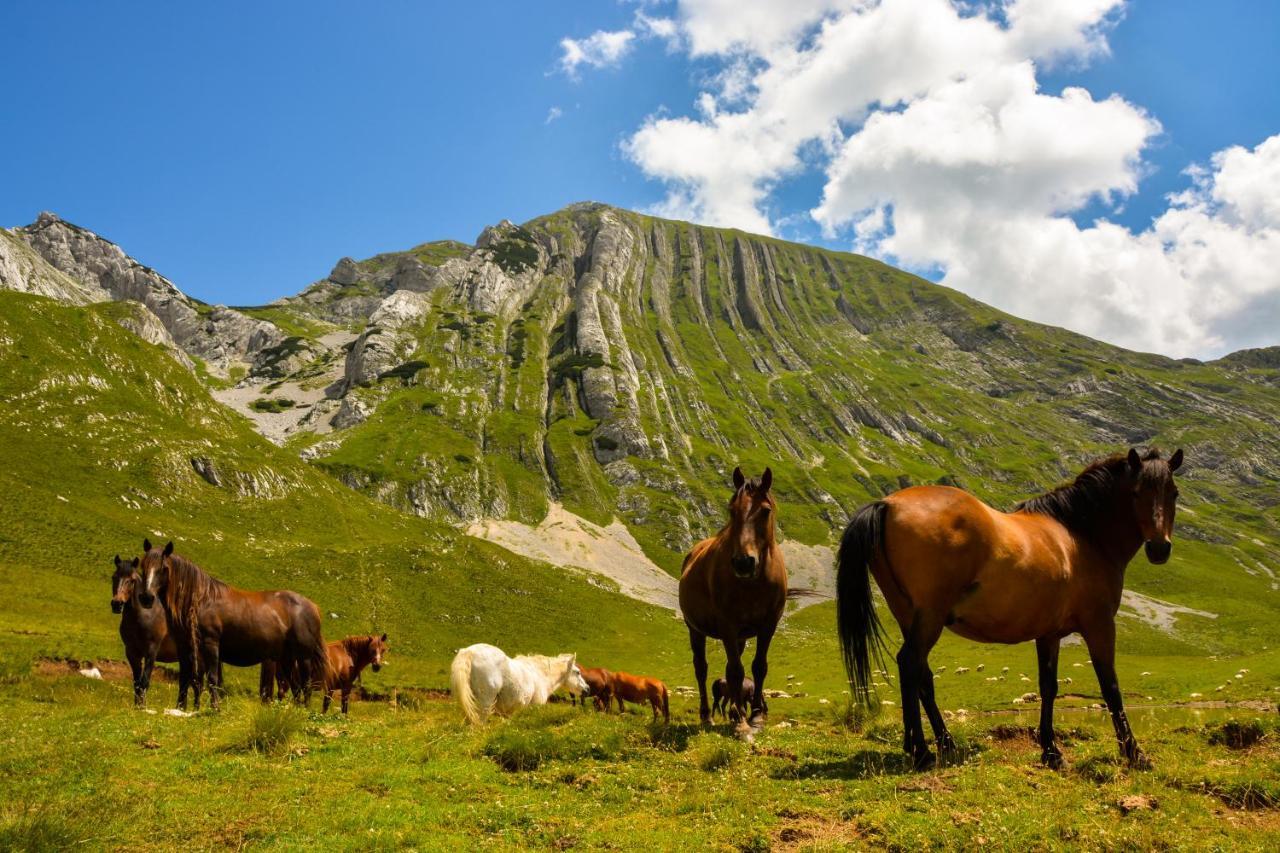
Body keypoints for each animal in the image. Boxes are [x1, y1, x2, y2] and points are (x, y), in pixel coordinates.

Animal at [136, 537, 330, 712]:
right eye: (143, 566)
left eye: (163, 568)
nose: (146, 598)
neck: (201, 601)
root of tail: (313, 607)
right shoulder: (185, 647)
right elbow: (186, 679)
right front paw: (181, 708)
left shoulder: (210, 644)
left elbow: (212, 678)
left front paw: (215, 708)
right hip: (287, 659)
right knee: (296, 687)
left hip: (303, 657)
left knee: (306, 685)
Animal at [680, 461, 788, 727]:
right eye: (732, 510)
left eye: (765, 511)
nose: (743, 563)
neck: (754, 583)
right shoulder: (727, 625)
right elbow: (737, 671)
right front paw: (739, 716)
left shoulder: (768, 625)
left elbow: (758, 666)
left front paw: (756, 714)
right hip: (695, 629)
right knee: (702, 668)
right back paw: (707, 715)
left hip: (740, 636)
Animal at [834, 448, 1182, 768]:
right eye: (1136, 492)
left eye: (1173, 493)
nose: (1159, 548)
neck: (1082, 536)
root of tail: (888, 504)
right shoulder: (1099, 625)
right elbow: (1110, 688)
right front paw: (1134, 754)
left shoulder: (1049, 634)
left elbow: (1048, 687)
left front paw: (1051, 751)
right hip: (929, 617)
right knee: (910, 664)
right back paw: (920, 751)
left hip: (909, 616)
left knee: (922, 675)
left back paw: (945, 744)